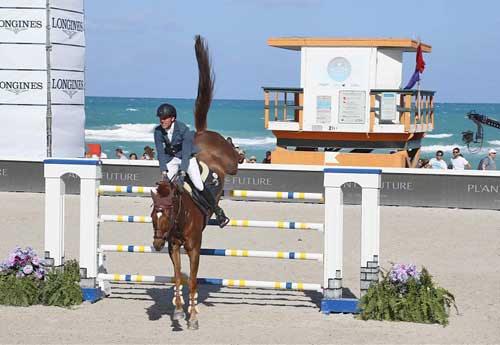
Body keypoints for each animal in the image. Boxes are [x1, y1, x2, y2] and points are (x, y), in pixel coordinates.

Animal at [149, 35, 239, 330]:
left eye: (166, 214)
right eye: (153, 216)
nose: (156, 244)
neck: (181, 216)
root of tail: (200, 133)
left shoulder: (195, 248)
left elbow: (192, 281)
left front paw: (193, 317)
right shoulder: (174, 247)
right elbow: (179, 277)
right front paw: (178, 311)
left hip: (228, 163)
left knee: (234, 158)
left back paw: (238, 149)